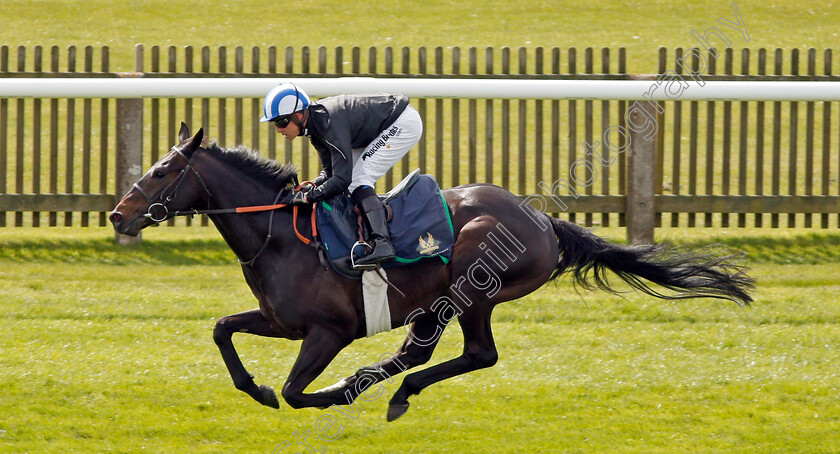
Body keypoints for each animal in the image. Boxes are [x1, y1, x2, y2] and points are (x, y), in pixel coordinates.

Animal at [106, 122, 756, 420]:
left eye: (163, 171)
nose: (119, 212)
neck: (280, 238)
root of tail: (543, 222)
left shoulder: (328, 331)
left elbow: (295, 392)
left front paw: (324, 394)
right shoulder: (280, 322)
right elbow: (222, 329)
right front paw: (254, 387)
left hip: (473, 285)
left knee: (466, 353)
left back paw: (374, 388)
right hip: (447, 300)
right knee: (433, 352)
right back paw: (385, 387)